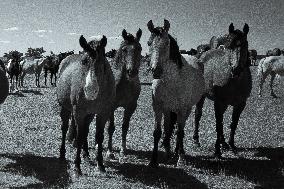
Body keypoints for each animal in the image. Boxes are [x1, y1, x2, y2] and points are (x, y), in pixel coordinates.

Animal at [56, 34, 115, 176]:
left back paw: (86, 154)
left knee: (86, 131)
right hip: (65, 108)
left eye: (103, 62)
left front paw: (100, 164)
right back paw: (62, 154)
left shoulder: (103, 113)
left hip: (90, 114)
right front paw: (77, 167)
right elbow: (79, 136)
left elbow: (99, 137)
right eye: (83, 61)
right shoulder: (79, 112)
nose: (90, 90)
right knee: (65, 128)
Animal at [146, 19, 204, 167]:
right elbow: (158, 132)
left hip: (187, 109)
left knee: (179, 128)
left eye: (167, 43)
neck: (172, 81)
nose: (156, 71)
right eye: (149, 43)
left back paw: (179, 152)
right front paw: (153, 160)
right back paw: (168, 151)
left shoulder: (182, 109)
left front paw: (180, 158)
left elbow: (180, 132)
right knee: (168, 128)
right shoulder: (158, 107)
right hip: (168, 110)